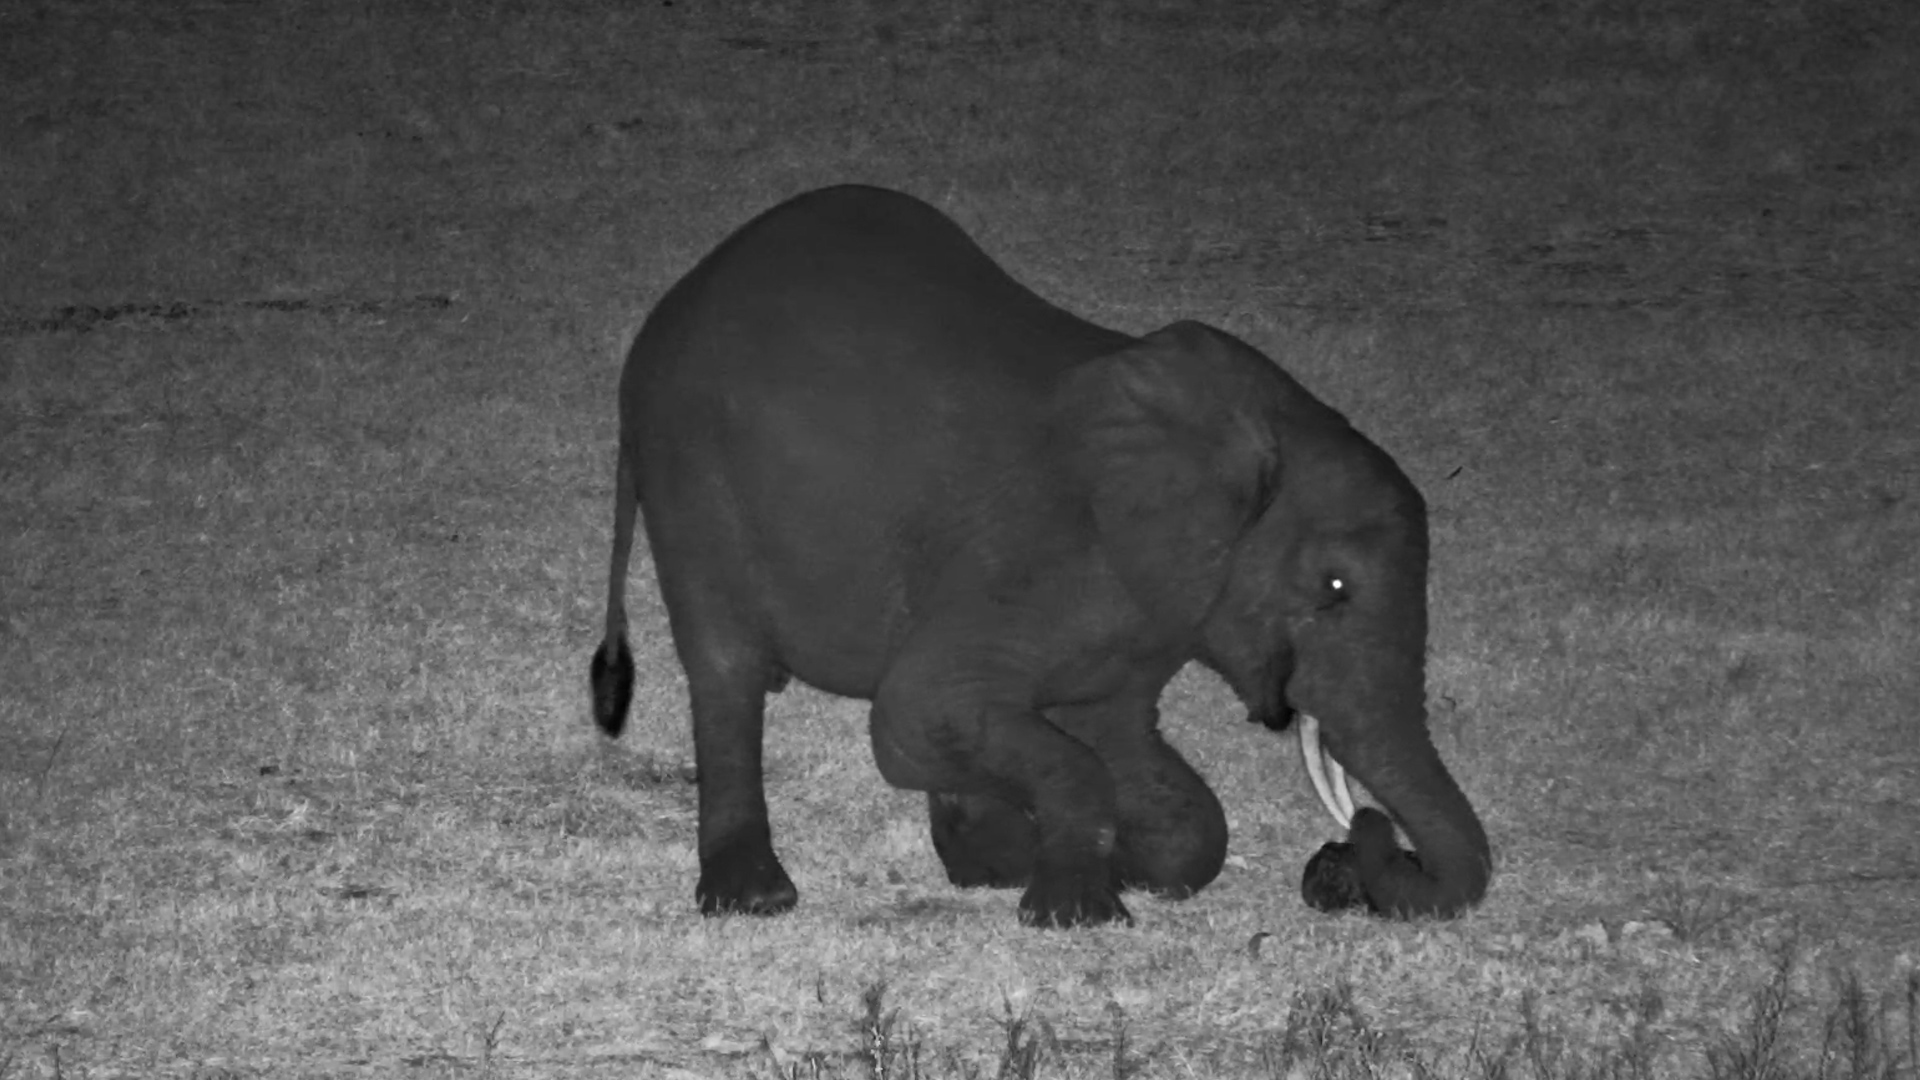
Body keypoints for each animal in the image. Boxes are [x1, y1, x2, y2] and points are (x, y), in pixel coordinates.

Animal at [589, 184, 1491, 927]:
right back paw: (754, 898)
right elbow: (921, 711)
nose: (1349, 850)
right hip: (689, 475)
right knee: (726, 668)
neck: (1249, 432)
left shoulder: (1142, 612)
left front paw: (1034, 863)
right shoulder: (1044, 557)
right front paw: (1071, 909)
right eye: (1335, 586)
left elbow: (1144, 775)